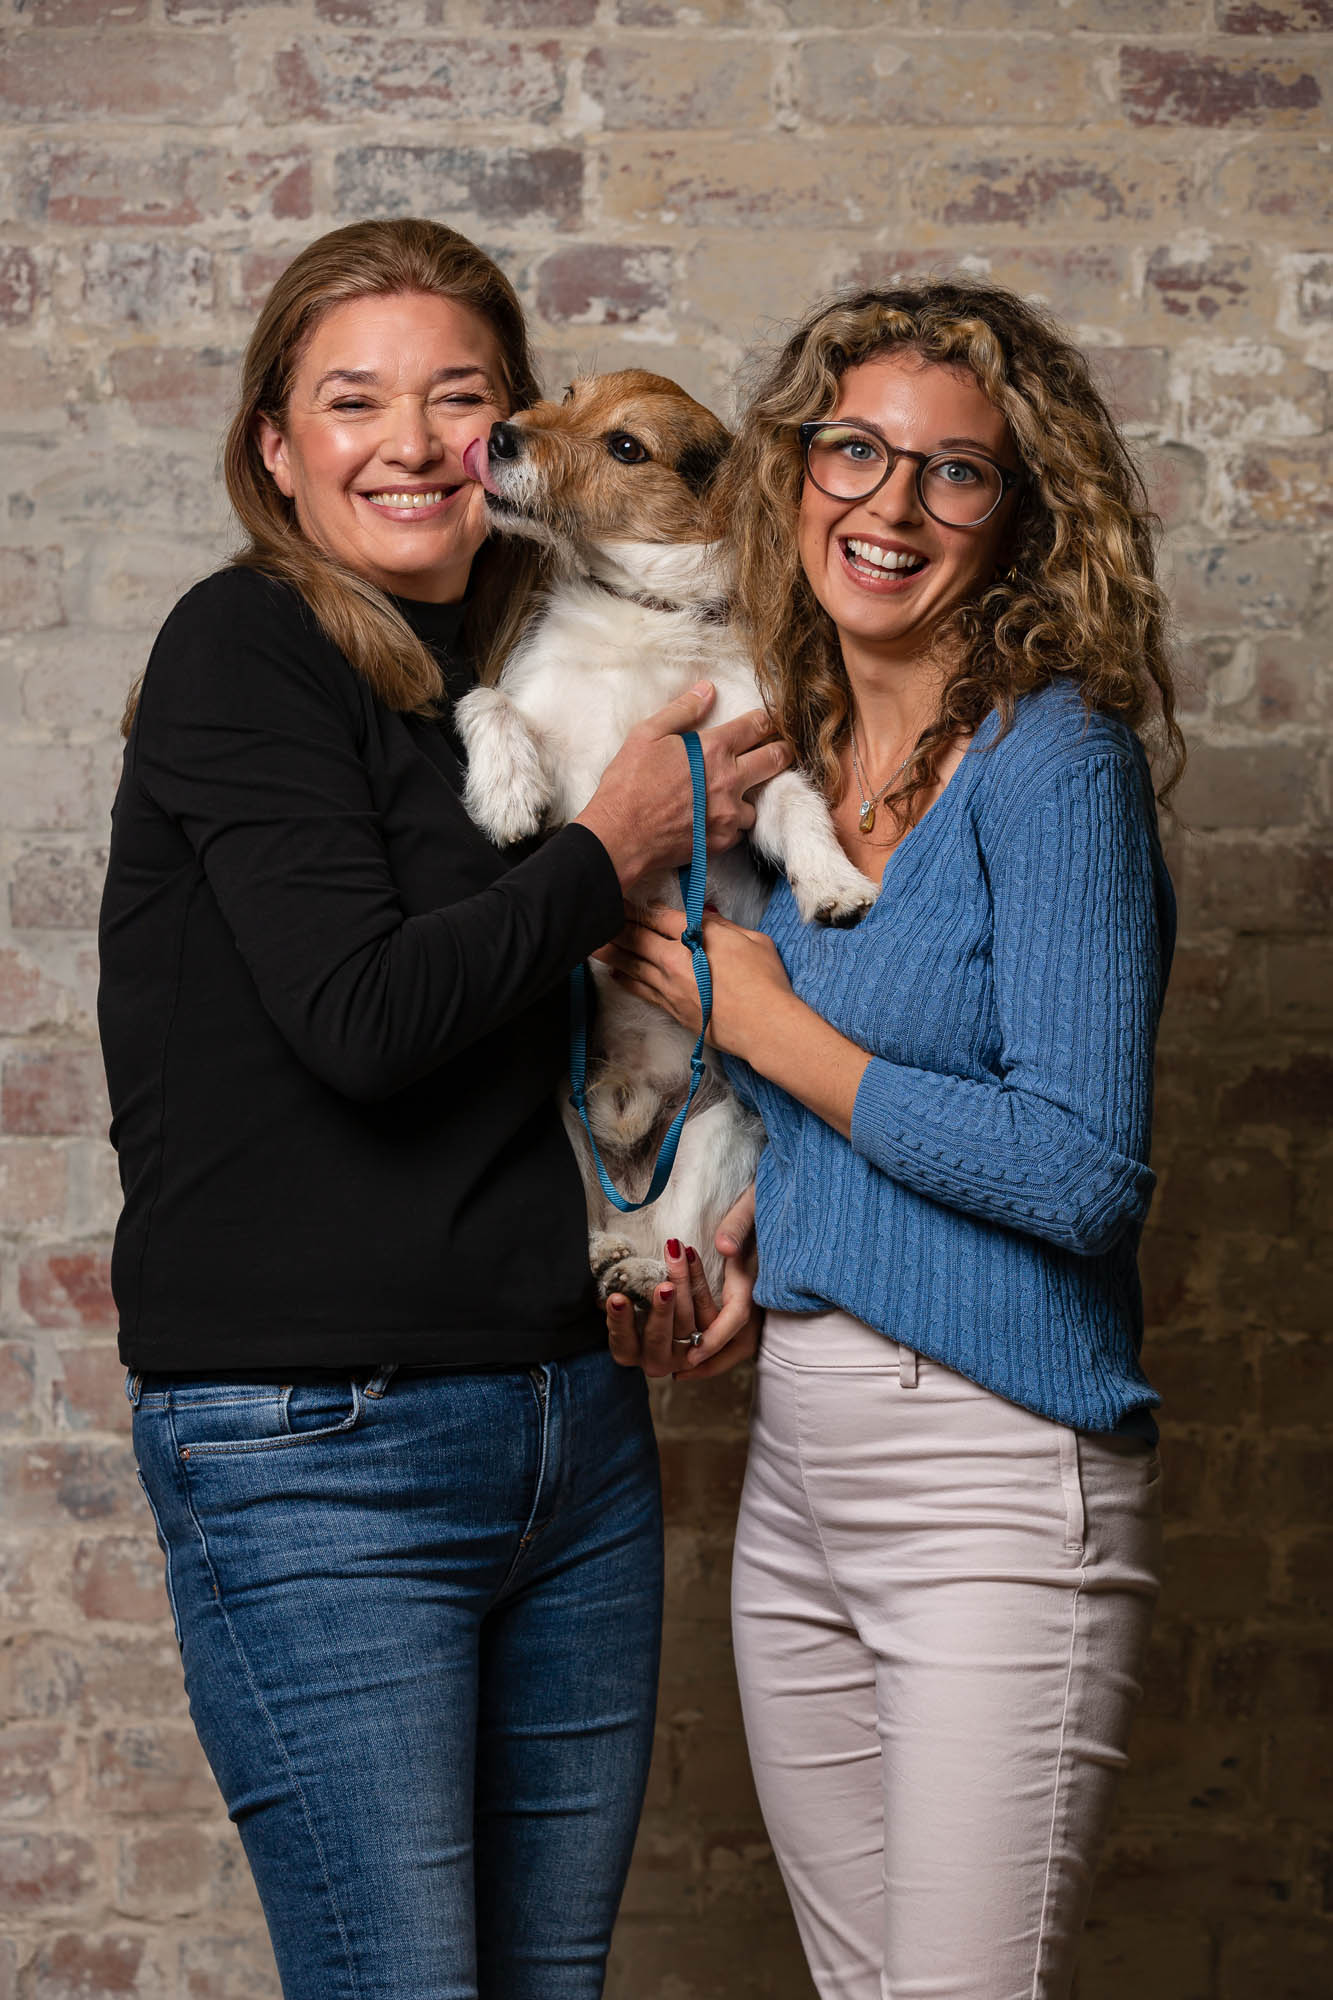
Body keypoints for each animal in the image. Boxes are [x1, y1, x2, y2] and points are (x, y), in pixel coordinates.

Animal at [456, 372, 872, 1312]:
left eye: (625, 447)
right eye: (566, 392)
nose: (497, 436)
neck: (639, 614)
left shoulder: (746, 775)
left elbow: (800, 810)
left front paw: (833, 884)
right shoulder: (562, 749)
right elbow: (487, 702)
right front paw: (506, 793)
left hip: (717, 1137)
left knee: (698, 1270)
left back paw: (646, 1274)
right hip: (563, 1135)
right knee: (597, 1230)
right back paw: (605, 1260)